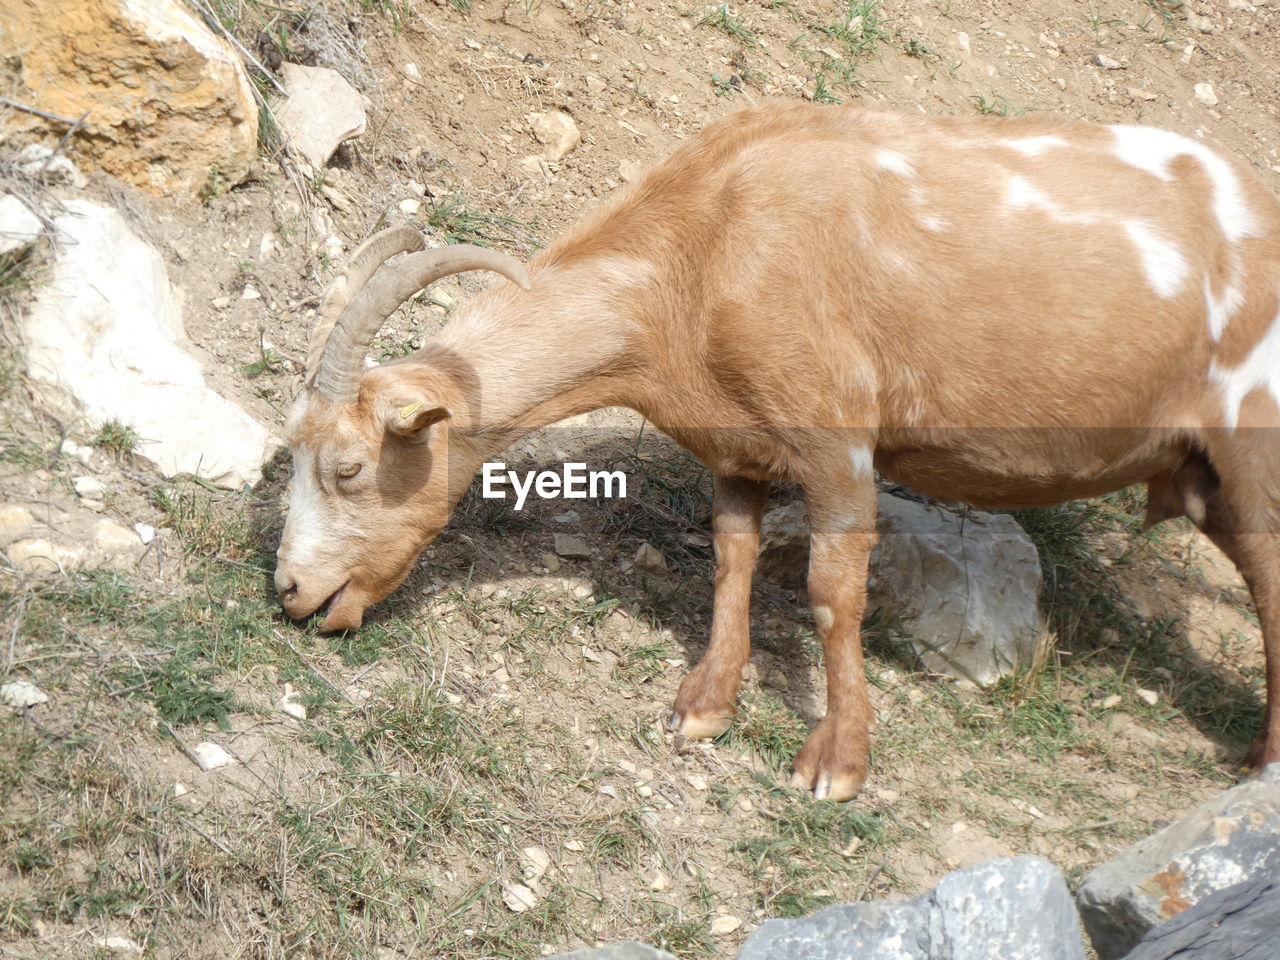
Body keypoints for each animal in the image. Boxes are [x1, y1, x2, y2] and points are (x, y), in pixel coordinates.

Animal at [277, 103, 1280, 803]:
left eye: (349, 468)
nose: (289, 591)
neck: (707, 243)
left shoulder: (837, 440)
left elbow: (834, 596)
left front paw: (837, 764)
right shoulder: (736, 446)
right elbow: (732, 559)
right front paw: (703, 708)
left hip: (1254, 443)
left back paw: (1263, 768)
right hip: (1200, 477)